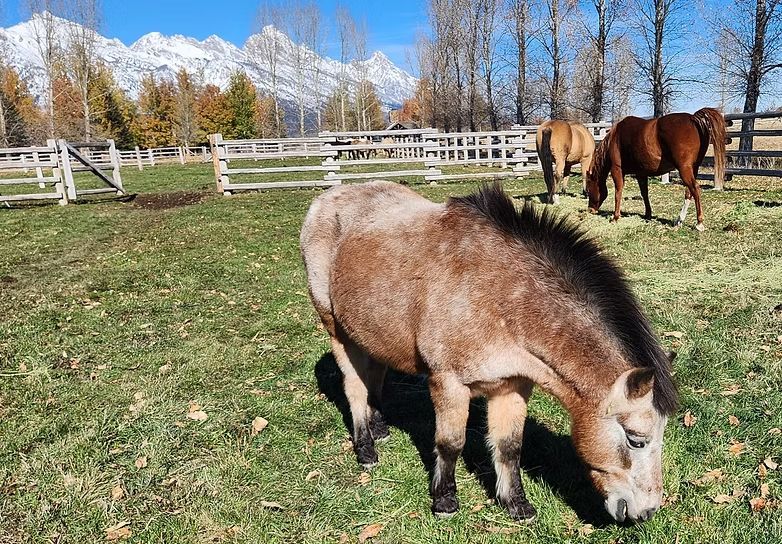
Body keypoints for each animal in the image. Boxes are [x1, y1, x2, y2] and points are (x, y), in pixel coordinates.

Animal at [301, 181, 677, 523]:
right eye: (636, 440)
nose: (647, 512)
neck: (499, 297)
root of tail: (324, 199)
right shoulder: (448, 383)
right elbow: (450, 443)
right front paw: (445, 500)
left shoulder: (511, 385)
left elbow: (509, 446)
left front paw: (516, 504)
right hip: (336, 329)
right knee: (354, 386)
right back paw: (366, 447)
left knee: (374, 375)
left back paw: (379, 426)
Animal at [585, 108, 726, 231]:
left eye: (588, 188)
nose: (590, 210)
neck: (615, 138)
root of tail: (693, 118)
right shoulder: (641, 174)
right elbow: (644, 193)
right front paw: (648, 214)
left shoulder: (617, 170)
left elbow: (618, 192)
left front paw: (615, 217)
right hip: (693, 169)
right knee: (689, 192)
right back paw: (679, 221)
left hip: (685, 169)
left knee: (695, 189)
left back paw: (699, 223)